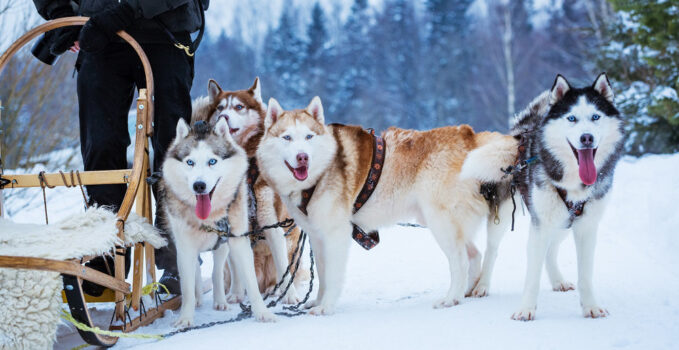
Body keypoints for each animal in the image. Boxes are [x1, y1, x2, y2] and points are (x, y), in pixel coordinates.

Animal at [160, 117, 276, 326]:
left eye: (212, 161)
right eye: (190, 162)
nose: (199, 186)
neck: (210, 217)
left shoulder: (238, 239)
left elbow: (250, 281)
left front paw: (263, 313)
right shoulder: (185, 247)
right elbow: (187, 287)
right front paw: (185, 318)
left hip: (224, 243)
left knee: (218, 270)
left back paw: (221, 300)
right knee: (197, 272)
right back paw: (200, 297)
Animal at [191, 78, 308, 302]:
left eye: (239, 107)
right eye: (220, 108)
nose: (224, 117)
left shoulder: (271, 221)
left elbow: (283, 267)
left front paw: (290, 297)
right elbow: (238, 268)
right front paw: (236, 294)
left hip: (289, 243)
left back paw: (274, 289)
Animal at [258, 95, 516, 314]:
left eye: (309, 137)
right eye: (287, 138)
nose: (303, 157)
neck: (320, 173)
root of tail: (468, 135)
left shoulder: (336, 235)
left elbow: (332, 277)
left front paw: (326, 307)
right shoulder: (318, 237)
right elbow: (322, 275)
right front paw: (318, 301)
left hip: (440, 223)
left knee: (461, 261)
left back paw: (452, 297)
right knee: (474, 254)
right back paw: (466, 292)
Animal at [464, 73, 624, 320]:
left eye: (595, 117)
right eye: (572, 118)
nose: (586, 138)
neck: (573, 181)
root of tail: (521, 132)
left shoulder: (586, 226)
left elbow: (585, 274)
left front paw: (591, 306)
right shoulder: (540, 226)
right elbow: (532, 276)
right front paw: (526, 309)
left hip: (563, 221)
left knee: (551, 249)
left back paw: (558, 280)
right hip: (505, 215)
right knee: (492, 250)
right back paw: (482, 285)